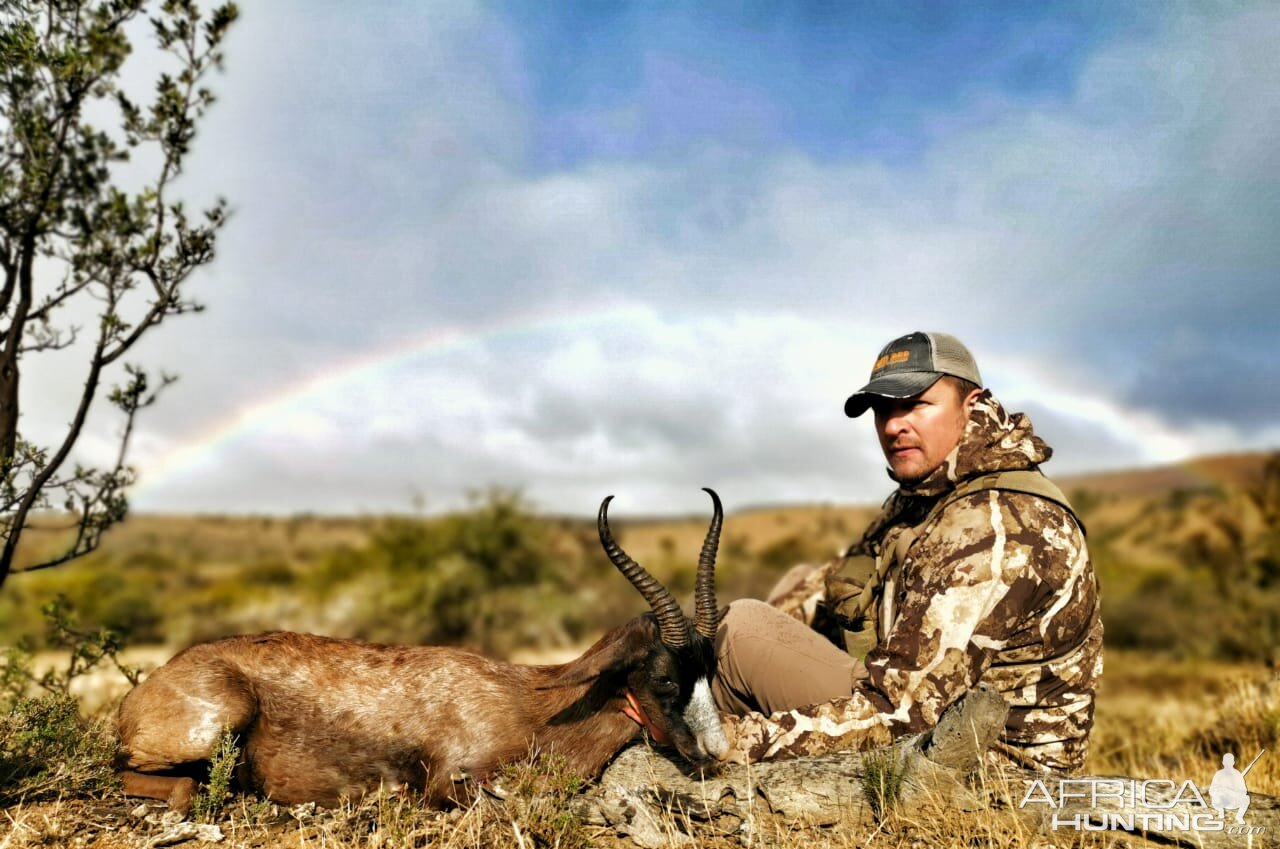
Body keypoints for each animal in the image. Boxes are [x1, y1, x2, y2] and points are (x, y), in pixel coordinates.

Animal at [117, 489, 732, 809]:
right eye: (666, 677)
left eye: (710, 669)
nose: (715, 751)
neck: (536, 700)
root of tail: (142, 693)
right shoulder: (452, 782)